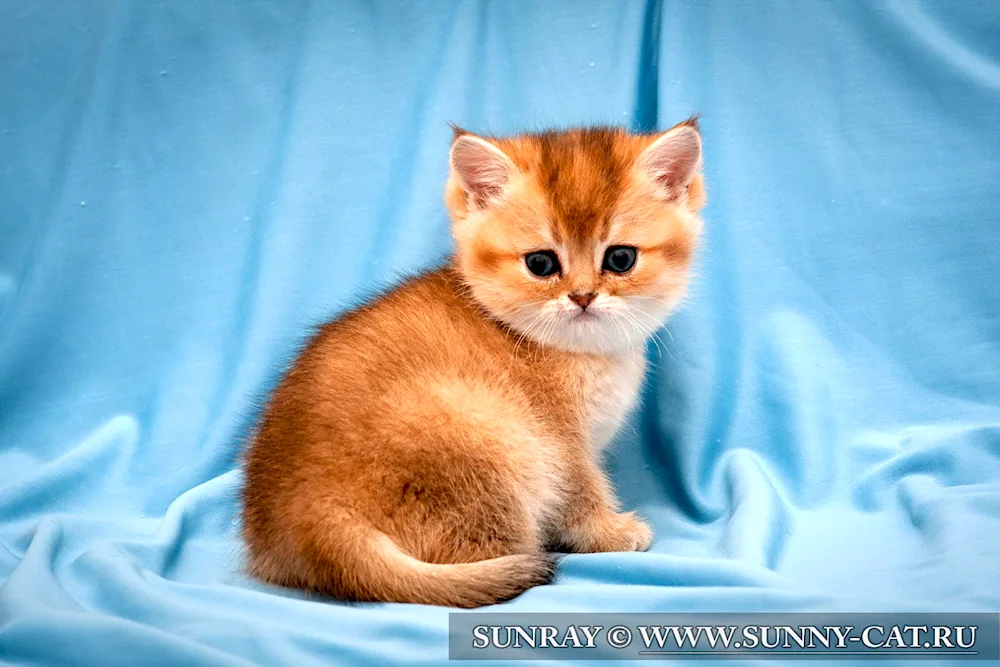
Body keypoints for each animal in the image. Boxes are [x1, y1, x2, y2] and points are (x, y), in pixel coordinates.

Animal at [240, 117, 704, 608]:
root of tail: (314, 520)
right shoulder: (560, 444)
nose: (582, 296)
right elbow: (581, 491)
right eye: (541, 263)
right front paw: (609, 533)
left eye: (620, 258)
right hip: (498, 438)